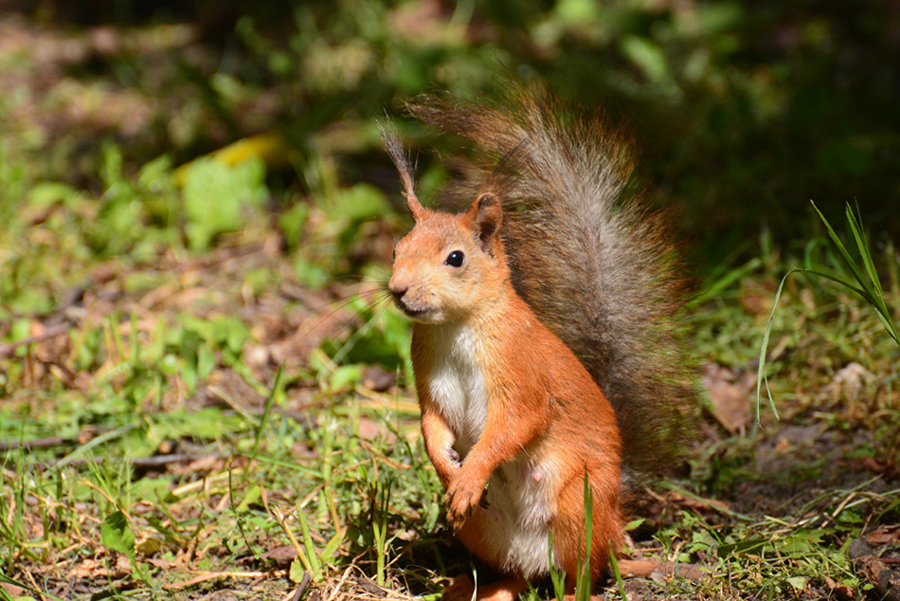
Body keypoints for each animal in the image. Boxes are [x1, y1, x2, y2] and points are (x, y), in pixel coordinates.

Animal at [380, 81, 696, 600]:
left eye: (455, 258)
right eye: (395, 249)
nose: (399, 289)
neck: (456, 329)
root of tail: (616, 522)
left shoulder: (521, 370)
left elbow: (513, 426)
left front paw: (470, 474)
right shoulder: (429, 379)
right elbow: (431, 425)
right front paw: (449, 471)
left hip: (577, 505)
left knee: (585, 570)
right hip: (481, 530)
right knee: (518, 572)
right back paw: (479, 587)